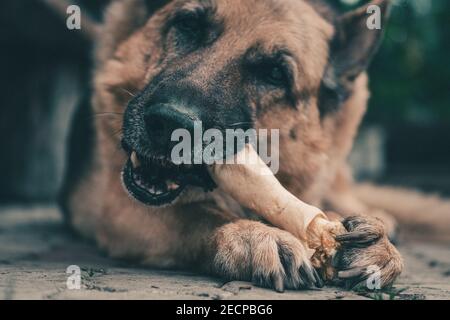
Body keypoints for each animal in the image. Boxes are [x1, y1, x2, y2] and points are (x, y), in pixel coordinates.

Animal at [59, 0, 446, 290]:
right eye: (189, 25)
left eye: (274, 73)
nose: (169, 123)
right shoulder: (119, 207)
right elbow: (194, 214)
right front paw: (252, 236)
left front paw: (367, 242)